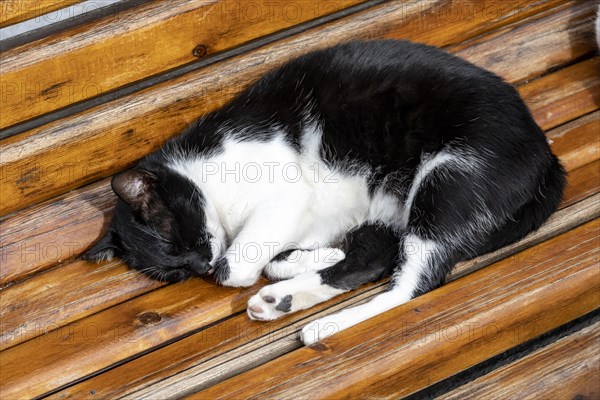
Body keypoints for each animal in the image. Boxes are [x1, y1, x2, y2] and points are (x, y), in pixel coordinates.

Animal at [85, 41, 568, 346]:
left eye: (178, 236)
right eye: (174, 272)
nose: (198, 265)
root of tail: (546, 154)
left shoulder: (284, 191)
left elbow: (234, 268)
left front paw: (246, 267)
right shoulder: (313, 216)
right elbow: (279, 259)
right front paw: (312, 258)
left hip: (448, 180)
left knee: (413, 285)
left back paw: (323, 323)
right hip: (396, 203)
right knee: (375, 257)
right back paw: (282, 299)